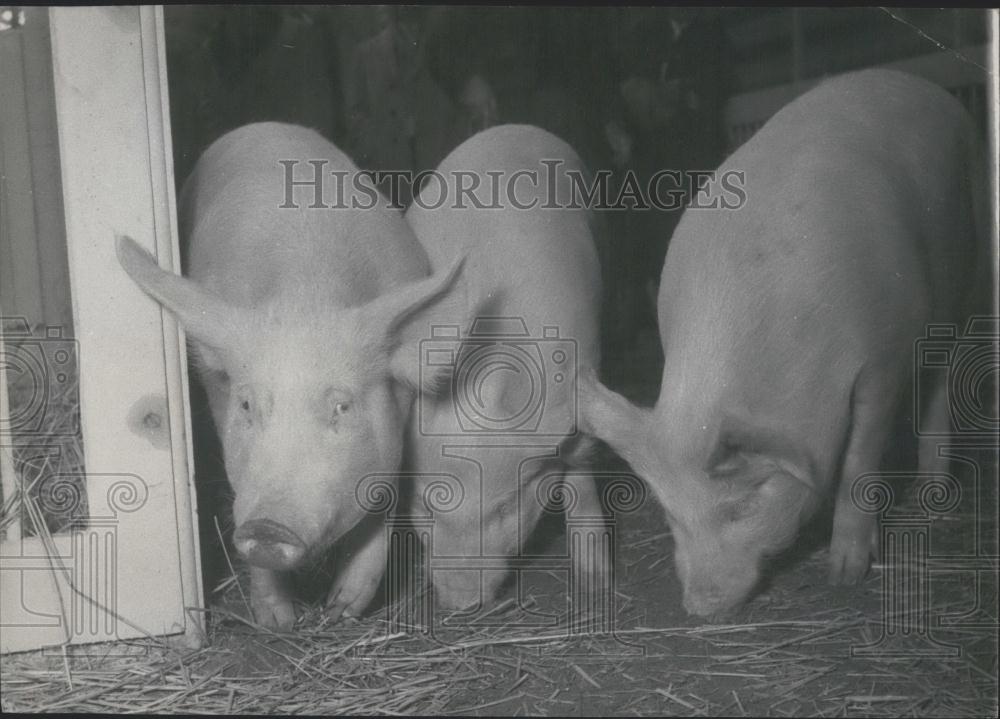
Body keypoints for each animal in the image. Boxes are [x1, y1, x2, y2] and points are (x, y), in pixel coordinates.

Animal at [116, 122, 465, 628]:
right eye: (247, 405)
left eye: (342, 405)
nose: (267, 527)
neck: (307, 295)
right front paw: (279, 622)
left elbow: (384, 497)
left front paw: (342, 610)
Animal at [577, 69, 987, 618]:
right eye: (671, 513)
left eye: (743, 504)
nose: (699, 606)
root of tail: (918, 82)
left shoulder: (886, 352)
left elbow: (859, 458)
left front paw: (844, 575)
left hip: (971, 268)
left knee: (943, 377)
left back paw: (931, 491)